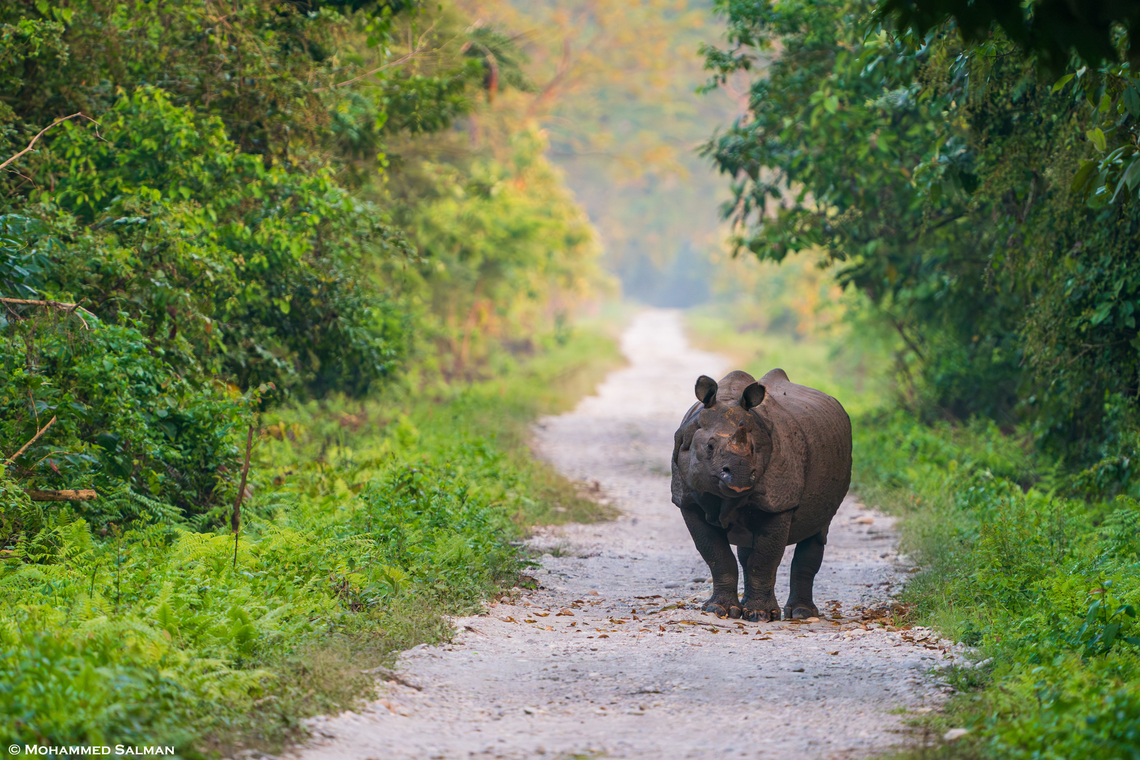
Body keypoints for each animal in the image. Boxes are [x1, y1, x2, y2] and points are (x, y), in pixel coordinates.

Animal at [671, 368, 852, 622]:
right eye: (709, 446)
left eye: (754, 449)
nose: (740, 476)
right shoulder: (687, 501)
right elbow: (716, 556)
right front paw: (719, 610)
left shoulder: (779, 502)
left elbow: (765, 559)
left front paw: (761, 615)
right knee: (747, 548)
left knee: (817, 532)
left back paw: (801, 613)